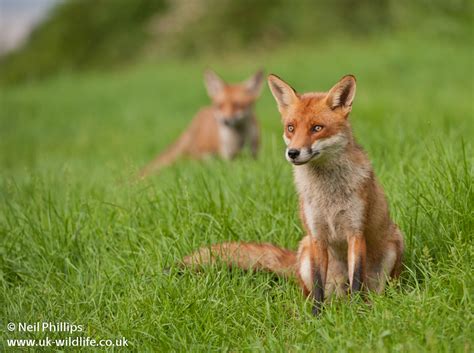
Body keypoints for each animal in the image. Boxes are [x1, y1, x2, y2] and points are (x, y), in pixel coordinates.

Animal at [181, 73, 404, 314]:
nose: (293, 153)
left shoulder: (355, 232)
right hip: (305, 251)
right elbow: (318, 285)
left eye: (317, 128)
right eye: (291, 128)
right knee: (312, 292)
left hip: (393, 245)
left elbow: (356, 280)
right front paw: (316, 317)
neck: (328, 194)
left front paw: (356, 314)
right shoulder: (316, 235)